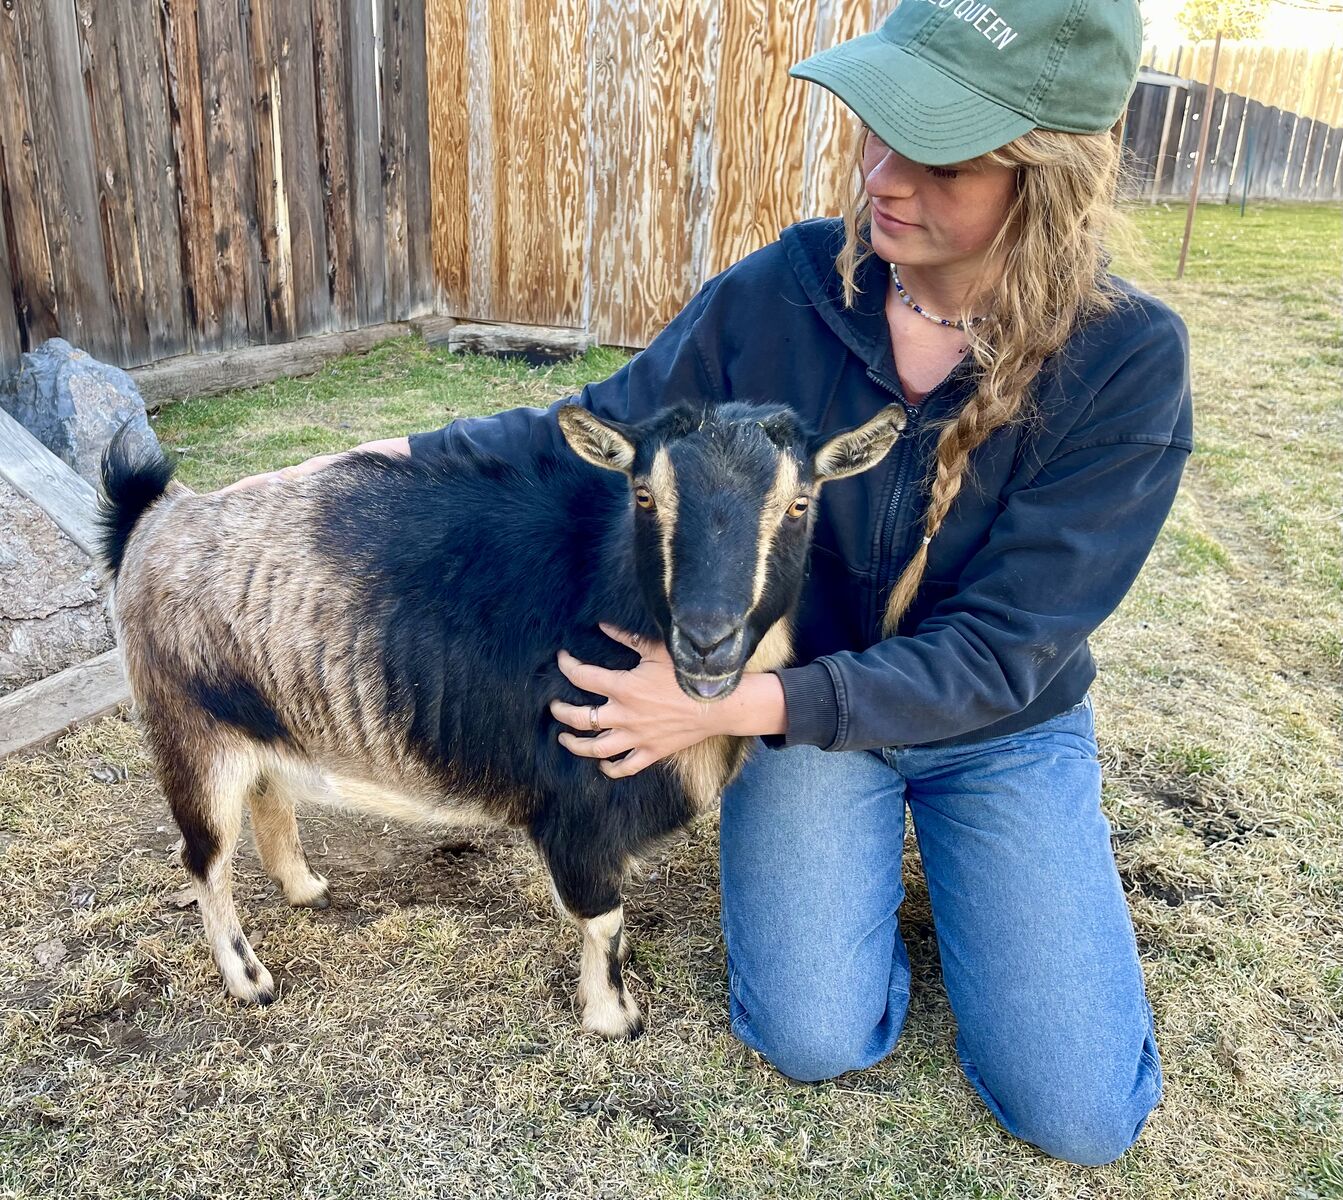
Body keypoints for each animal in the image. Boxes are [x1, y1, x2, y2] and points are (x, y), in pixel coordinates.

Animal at [97, 400, 905, 1038]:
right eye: (644, 496)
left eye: (799, 503)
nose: (708, 640)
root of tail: (156, 520)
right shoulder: (579, 806)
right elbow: (603, 918)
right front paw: (613, 1017)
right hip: (192, 734)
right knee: (204, 860)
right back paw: (249, 979)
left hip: (257, 719)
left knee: (269, 795)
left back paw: (305, 887)